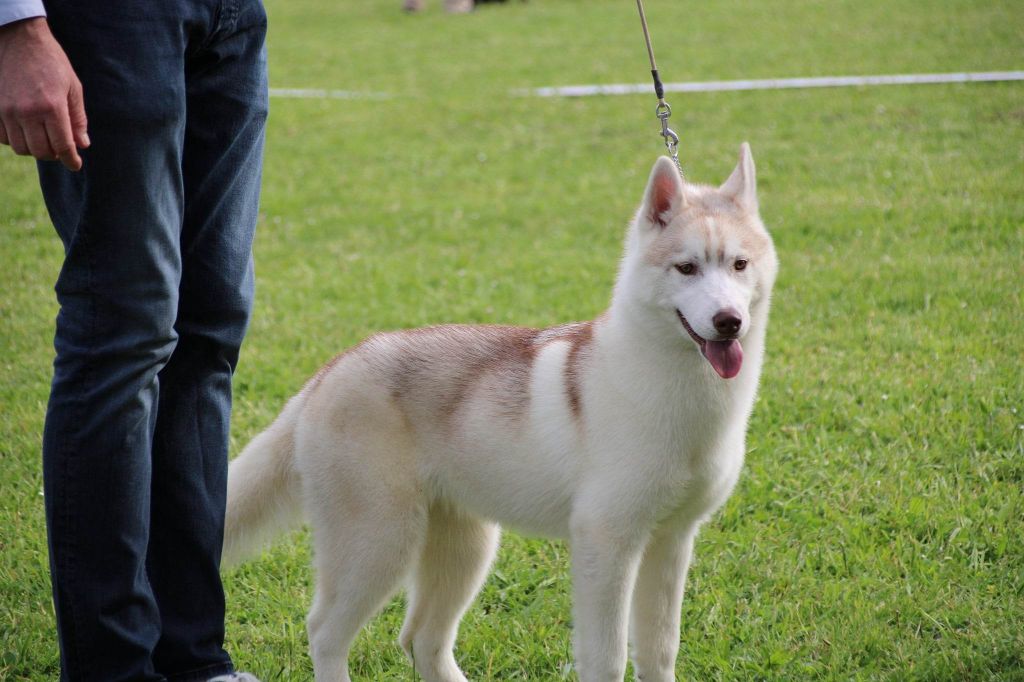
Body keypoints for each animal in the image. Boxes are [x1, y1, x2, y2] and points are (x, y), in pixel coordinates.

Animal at [226, 144, 774, 679]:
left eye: (739, 265)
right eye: (687, 268)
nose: (729, 321)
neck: (685, 403)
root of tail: (330, 370)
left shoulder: (671, 542)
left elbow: (660, 651)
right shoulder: (606, 543)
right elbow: (608, 658)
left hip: (466, 549)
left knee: (421, 640)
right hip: (379, 545)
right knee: (325, 633)